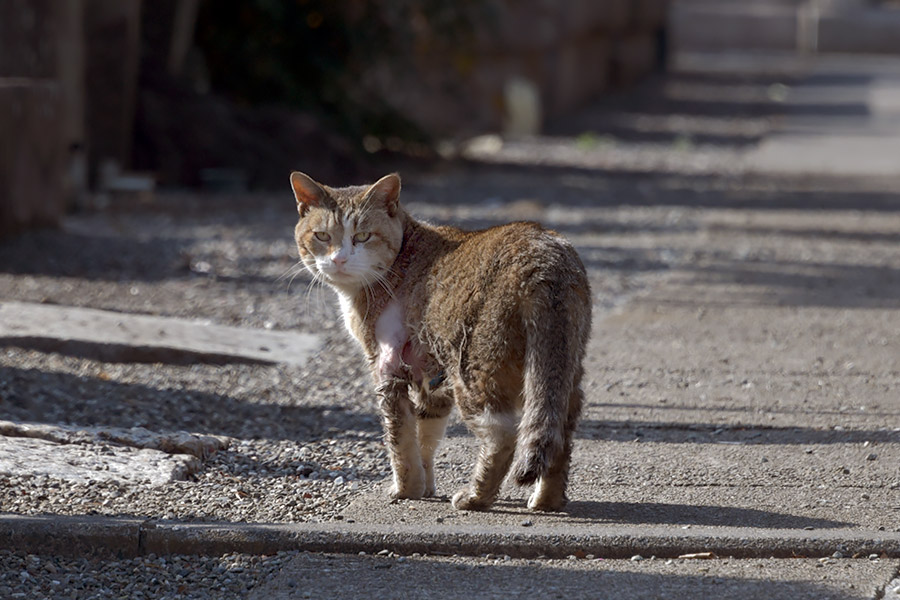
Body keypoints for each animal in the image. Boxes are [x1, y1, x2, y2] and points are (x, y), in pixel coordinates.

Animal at [292, 170, 596, 510]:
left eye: (363, 236)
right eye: (322, 236)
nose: (339, 260)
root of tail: (543, 259)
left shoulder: (387, 364)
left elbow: (400, 439)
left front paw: (406, 488)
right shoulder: (432, 375)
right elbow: (425, 433)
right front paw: (425, 485)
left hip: (473, 365)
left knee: (502, 433)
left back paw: (476, 496)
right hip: (562, 366)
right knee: (560, 428)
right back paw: (547, 499)